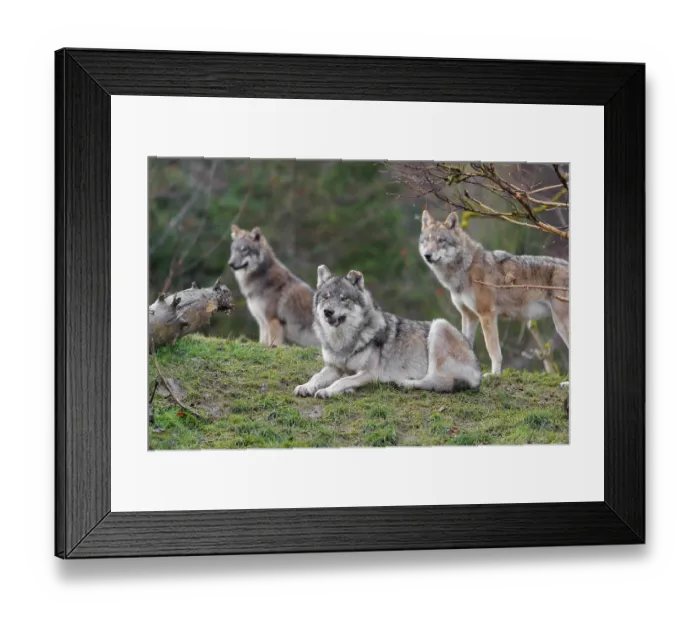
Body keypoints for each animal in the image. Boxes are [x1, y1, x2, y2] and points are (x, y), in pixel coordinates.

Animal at [294, 265, 481, 399]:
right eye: (326, 297)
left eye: (344, 298)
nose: (328, 312)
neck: (343, 343)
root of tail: (478, 371)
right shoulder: (333, 368)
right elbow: (316, 377)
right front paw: (306, 387)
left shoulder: (369, 373)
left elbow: (343, 380)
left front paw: (328, 391)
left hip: (439, 325)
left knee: (436, 382)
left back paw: (404, 382)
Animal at [419, 210, 569, 379]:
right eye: (427, 240)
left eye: (441, 241)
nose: (427, 255)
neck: (465, 269)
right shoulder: (469, 316)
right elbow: (465, 344)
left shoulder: (487, 314)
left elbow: (493, 351)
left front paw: (494, 375)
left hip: (561, 325)